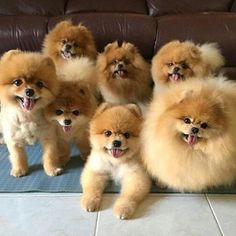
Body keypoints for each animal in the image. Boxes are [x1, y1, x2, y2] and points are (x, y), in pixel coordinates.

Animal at [0, 49, 62, 177]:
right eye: (17, 82)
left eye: (40, 84)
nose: (29, 91)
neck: (27, 116)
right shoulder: (14, 139)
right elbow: (17, 156)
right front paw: (19, 169)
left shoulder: (48, 136)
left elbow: (50, 155)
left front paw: (52, 168)